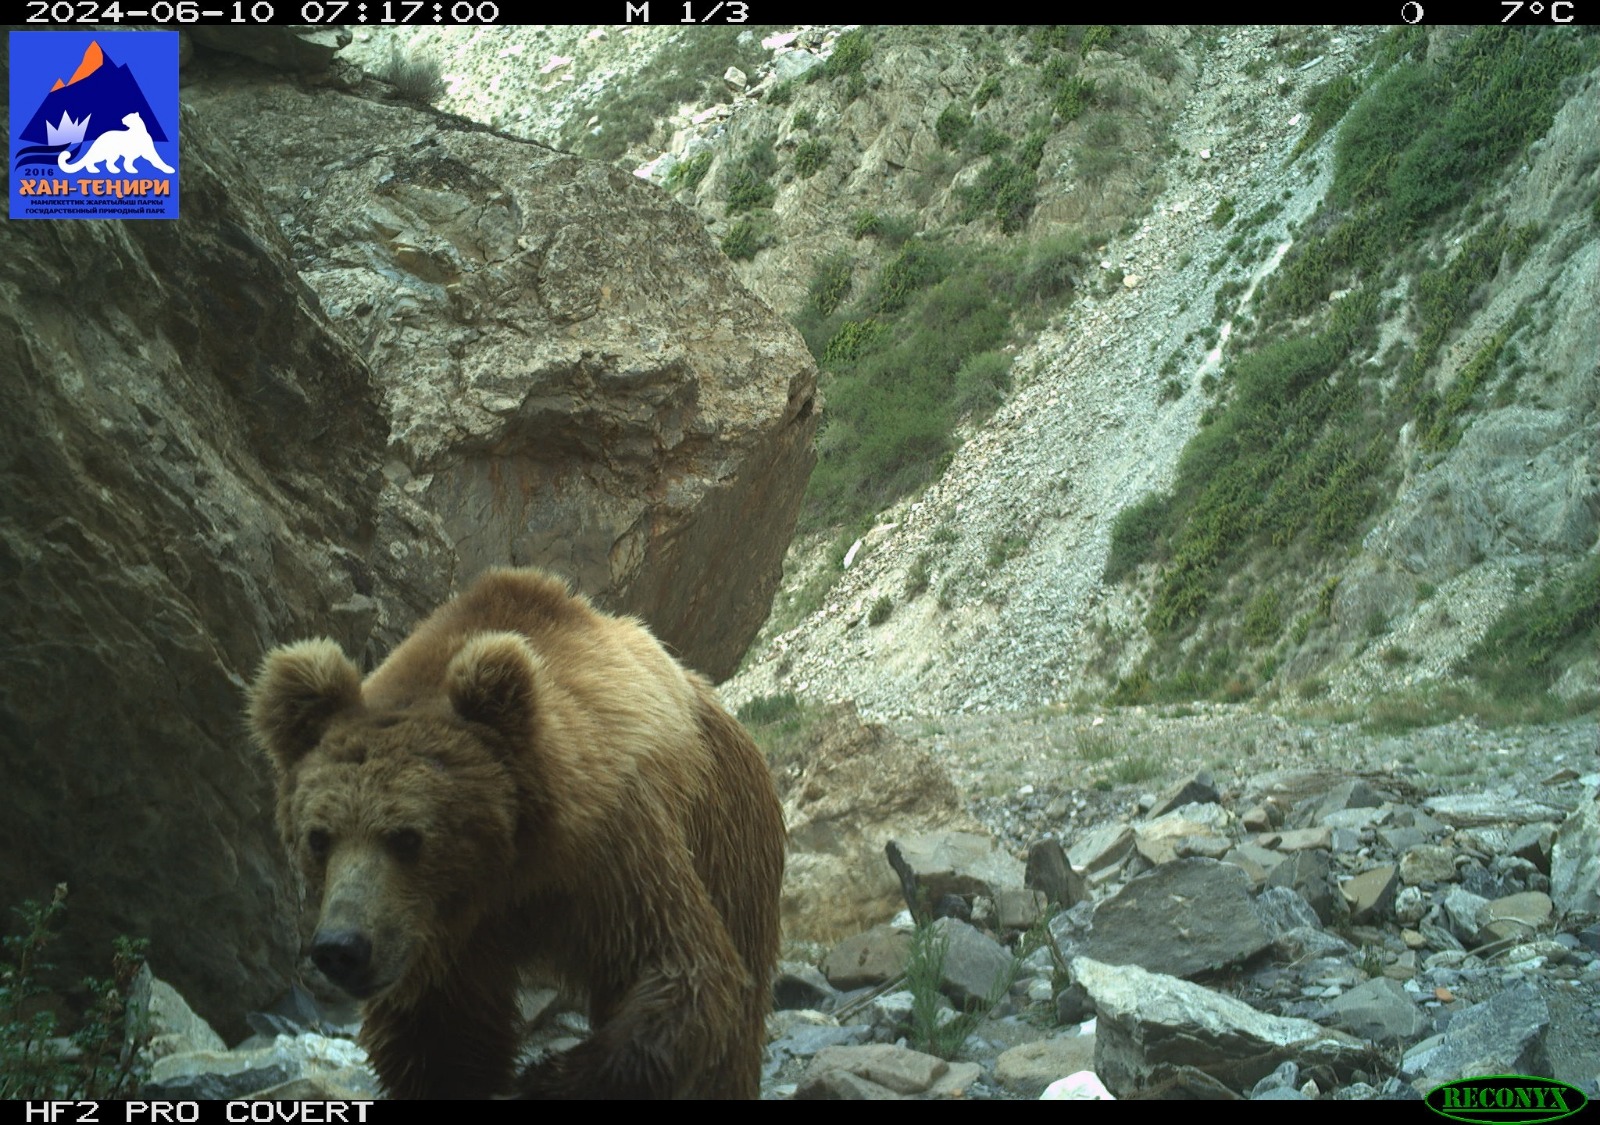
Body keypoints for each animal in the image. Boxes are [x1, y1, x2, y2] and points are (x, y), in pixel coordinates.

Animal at [247, 567, 785, 1099]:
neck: (507, 869)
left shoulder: (613, 855)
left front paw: (545, 1078)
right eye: (318, 838)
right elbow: (439, 1040)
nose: (342, 948)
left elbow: (681, 968)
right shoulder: (447, 944)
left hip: (730, 833)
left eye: (407, 837)